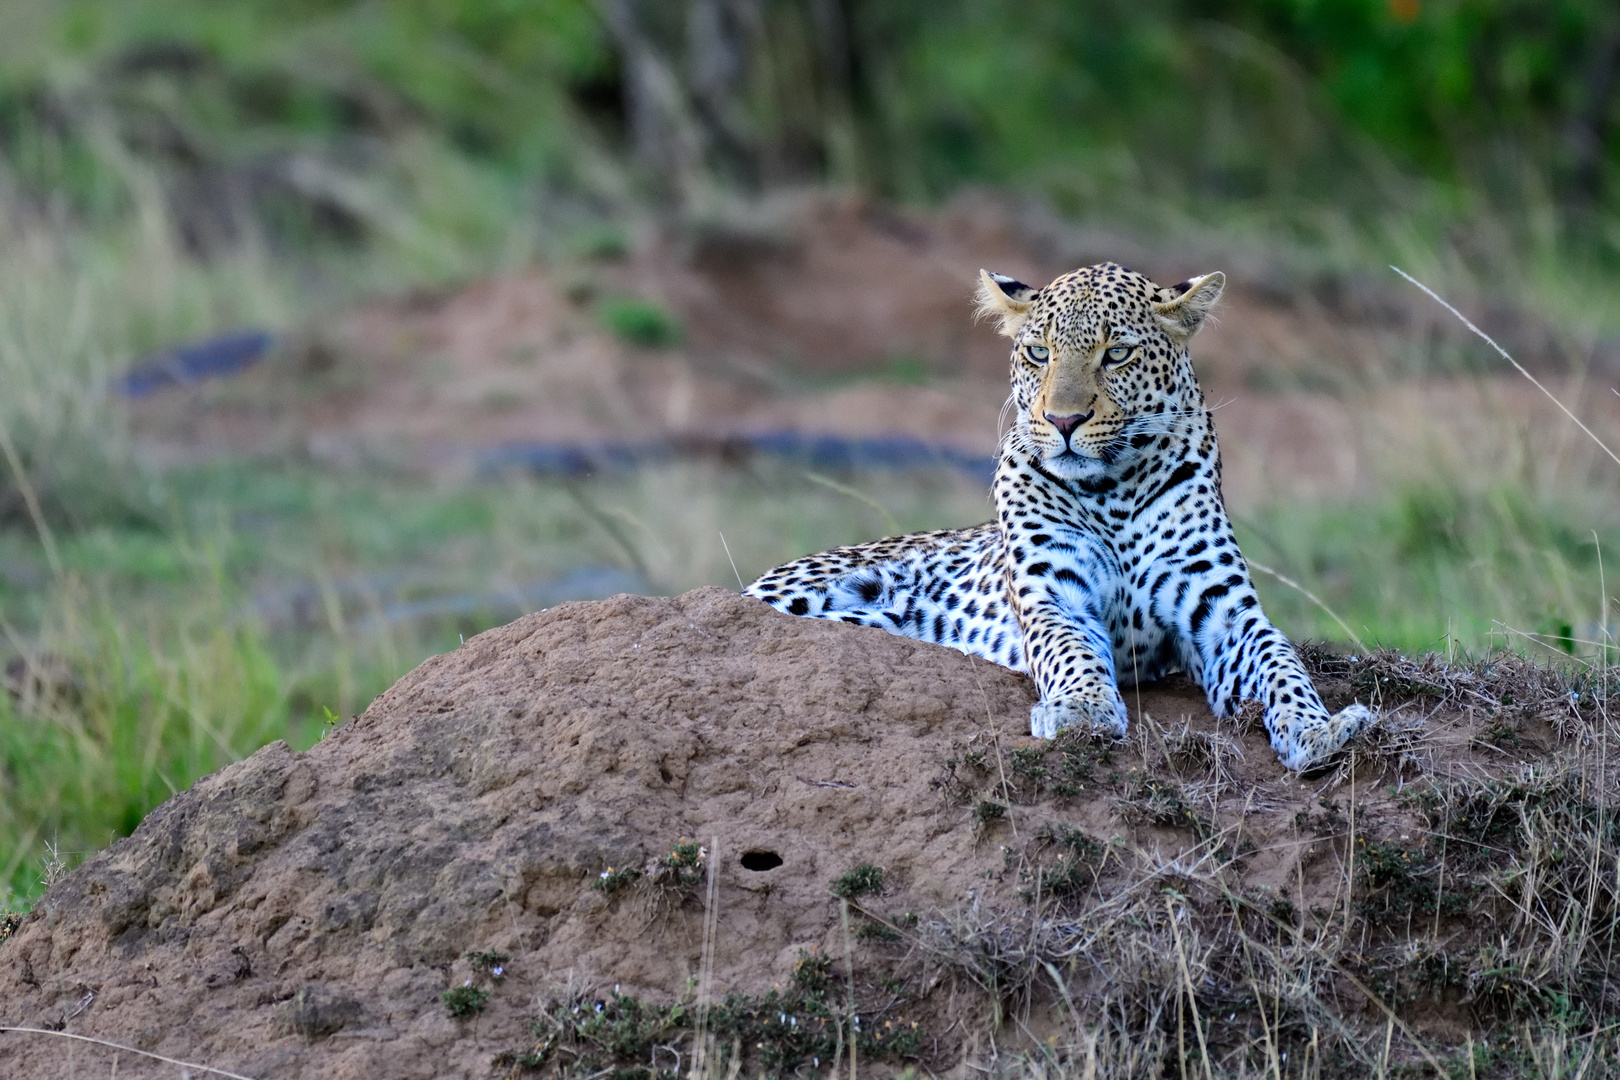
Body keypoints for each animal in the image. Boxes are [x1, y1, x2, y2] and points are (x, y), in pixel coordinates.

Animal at [741, 260, 1373, 767]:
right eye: (1038, 353)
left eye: (1116, 354)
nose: (1063, 420)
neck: (1114, 488)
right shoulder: (1054, 592)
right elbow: (1070, 650)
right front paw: (1083, 710)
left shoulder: (1222, 610)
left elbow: (1280, 662)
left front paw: (1318, 729)